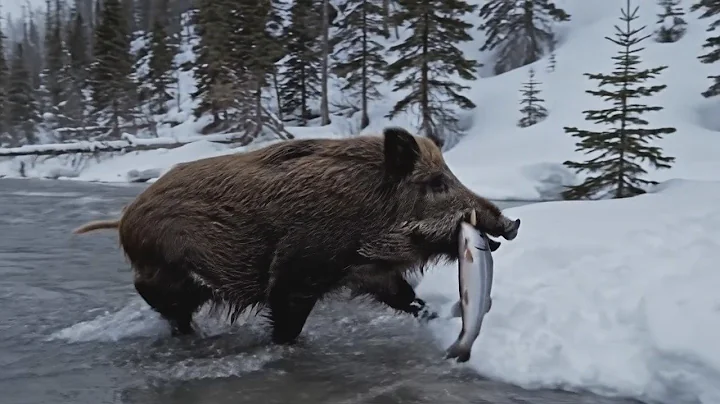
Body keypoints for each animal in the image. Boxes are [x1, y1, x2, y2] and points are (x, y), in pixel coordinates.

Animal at [72, 127, 520, 344]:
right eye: (436, 183)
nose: (511, 223)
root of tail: (125, 218)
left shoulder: (370, 274)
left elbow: (406, 298)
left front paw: (433, 316)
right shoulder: (297, 272)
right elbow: (287, 324)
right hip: (168, 273)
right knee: (157, 298)